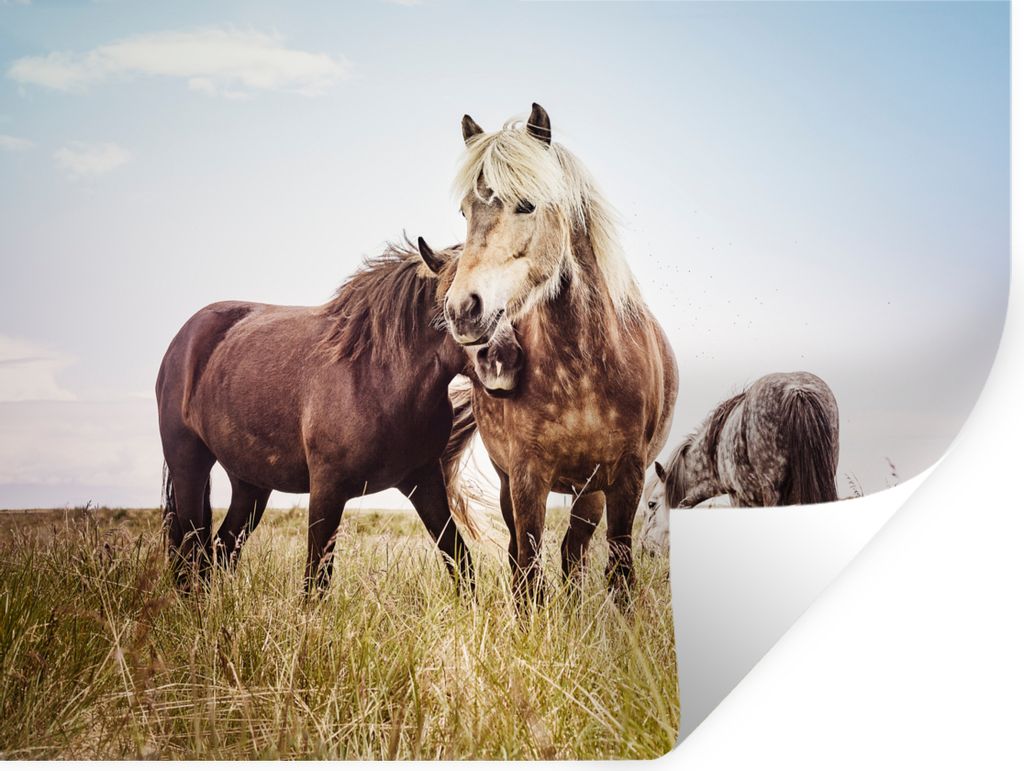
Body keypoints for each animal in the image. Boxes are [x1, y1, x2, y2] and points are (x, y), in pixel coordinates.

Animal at [155, 242, 507, 593]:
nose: (507, 359)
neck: (378, 376)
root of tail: (182, 340)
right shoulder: (327, 489)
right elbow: (317, 578)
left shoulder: (425, 481)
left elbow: (459, 558)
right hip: (189, 465)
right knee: (191, 548)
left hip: (250, 483)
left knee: (222, 547)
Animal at [419, 103, 678, 603]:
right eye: (465, 210)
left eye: (526, 204)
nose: (462, 310)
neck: (583, 370)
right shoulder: (526, 477)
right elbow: (528, 567)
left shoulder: (627, 478)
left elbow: (619, 568)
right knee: (527, 555)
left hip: (589, 491)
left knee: (574, 551)